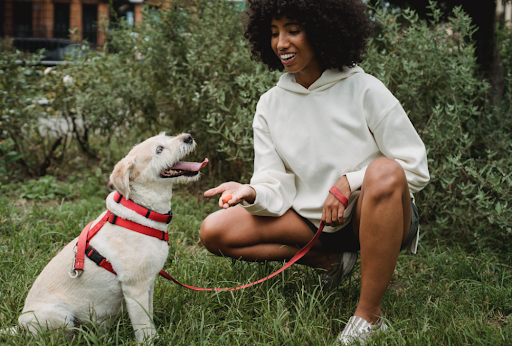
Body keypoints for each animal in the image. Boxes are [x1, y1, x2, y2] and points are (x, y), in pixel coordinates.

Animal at [17, 133, 208, 344]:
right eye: (159, 149)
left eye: (167, 136)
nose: (188, 137)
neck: (142, 210)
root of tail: (19, 328)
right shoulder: (135, 288)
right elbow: (143, 326)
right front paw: (149, 341)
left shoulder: (149, 283)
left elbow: (149, 317)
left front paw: (157, 337)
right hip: (60, 316)